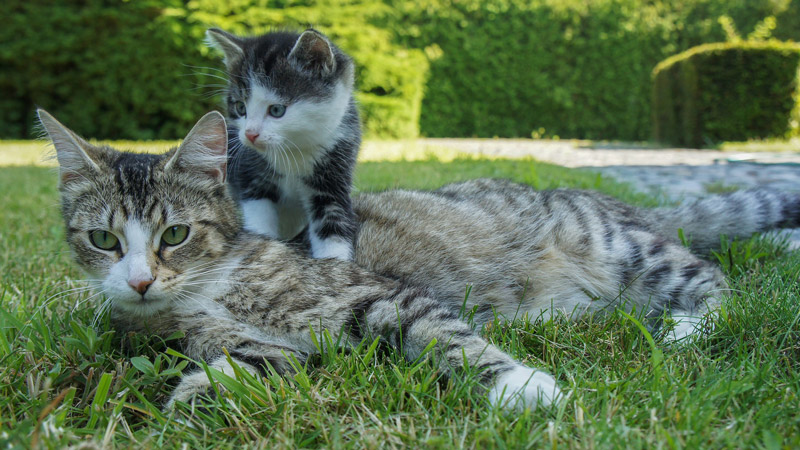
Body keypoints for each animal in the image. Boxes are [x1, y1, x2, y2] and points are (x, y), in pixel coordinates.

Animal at [39, 110, 564, 414]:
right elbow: (262, 364)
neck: (207, 290)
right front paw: (193, 397)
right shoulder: (248, 346)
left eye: (175, 234)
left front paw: (520, 384)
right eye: (102, 239)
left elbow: (440, 330)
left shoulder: (373, 291)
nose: (140, 282)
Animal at [206, 27, 360, 260]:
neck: (293, 148)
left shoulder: (334, 172)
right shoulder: (252, 176)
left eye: (277, 110)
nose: (250, 134)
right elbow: (259, 221)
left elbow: (333, 226)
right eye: (241, 108)